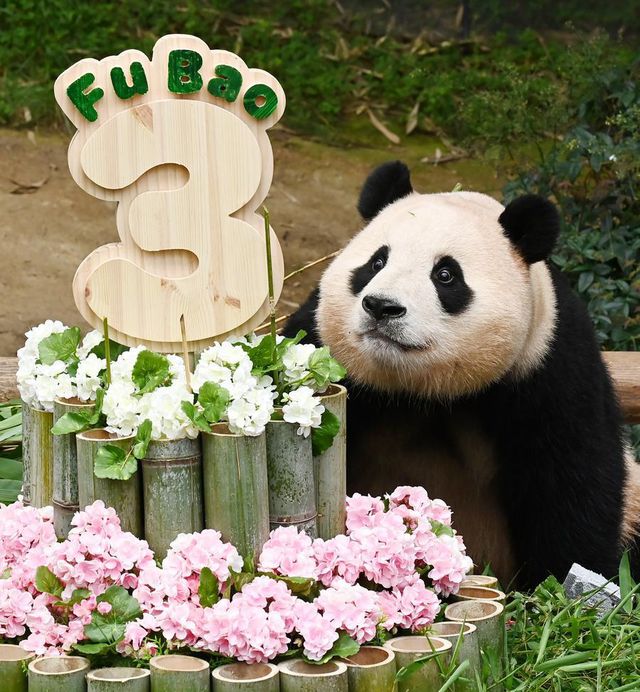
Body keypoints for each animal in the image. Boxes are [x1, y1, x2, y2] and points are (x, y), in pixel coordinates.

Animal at [285, 161, 640, 590]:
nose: (382, 307)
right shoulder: (322, 344)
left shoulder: (548, 367)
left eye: (446, 275)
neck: (424, 393)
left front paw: (558, 584)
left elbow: (573, 482)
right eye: (376, 263)